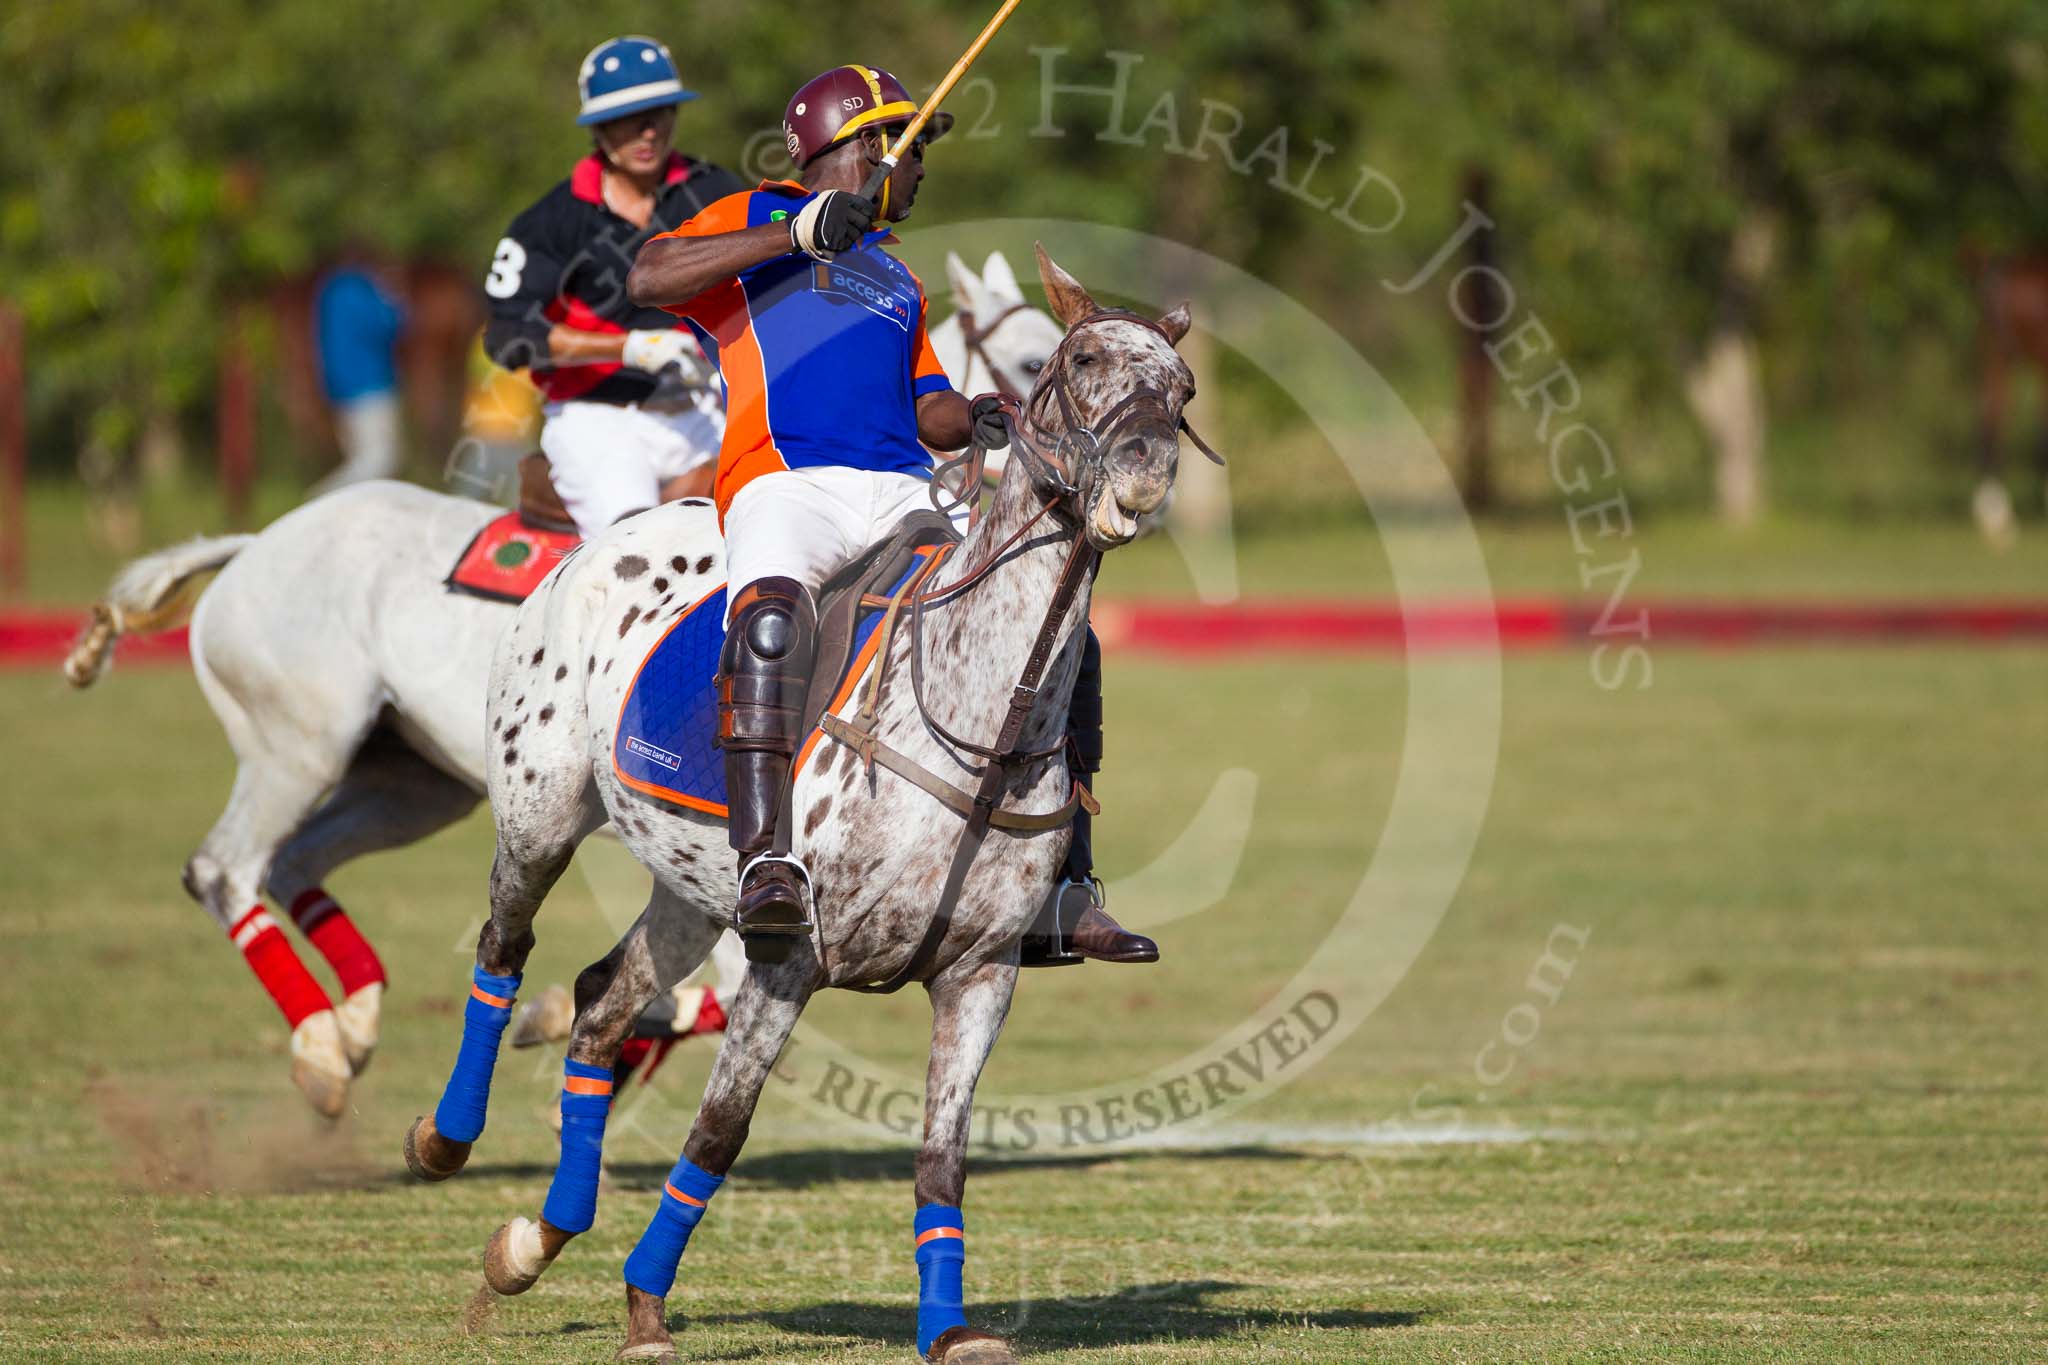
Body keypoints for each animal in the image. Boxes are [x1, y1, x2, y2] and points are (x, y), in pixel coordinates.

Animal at [64, 253, 1056, 1121]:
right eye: (1030, 360)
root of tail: (250, 545)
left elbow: (700, 989)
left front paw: (583, 1047)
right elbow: (717, 985)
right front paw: (570, 1042)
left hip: (411, 779)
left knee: (295, 860)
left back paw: (355, 1023)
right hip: (299, 746)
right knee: (225, 868)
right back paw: (319, 1052)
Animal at [403, 245, 1196, 1365]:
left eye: (1183, 390)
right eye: (1078, 359)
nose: (1141, 471)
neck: (979, 723)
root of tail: (599, 542)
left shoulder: (982, 973)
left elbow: (941, 1158)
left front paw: (949, 1332)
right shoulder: (789, 962)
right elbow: (719, 1132)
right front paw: (646, 1307)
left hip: (693, 891)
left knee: (603, 1005)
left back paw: (537, 1237)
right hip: (539, 813)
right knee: (502, 948)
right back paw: (443, 1139)